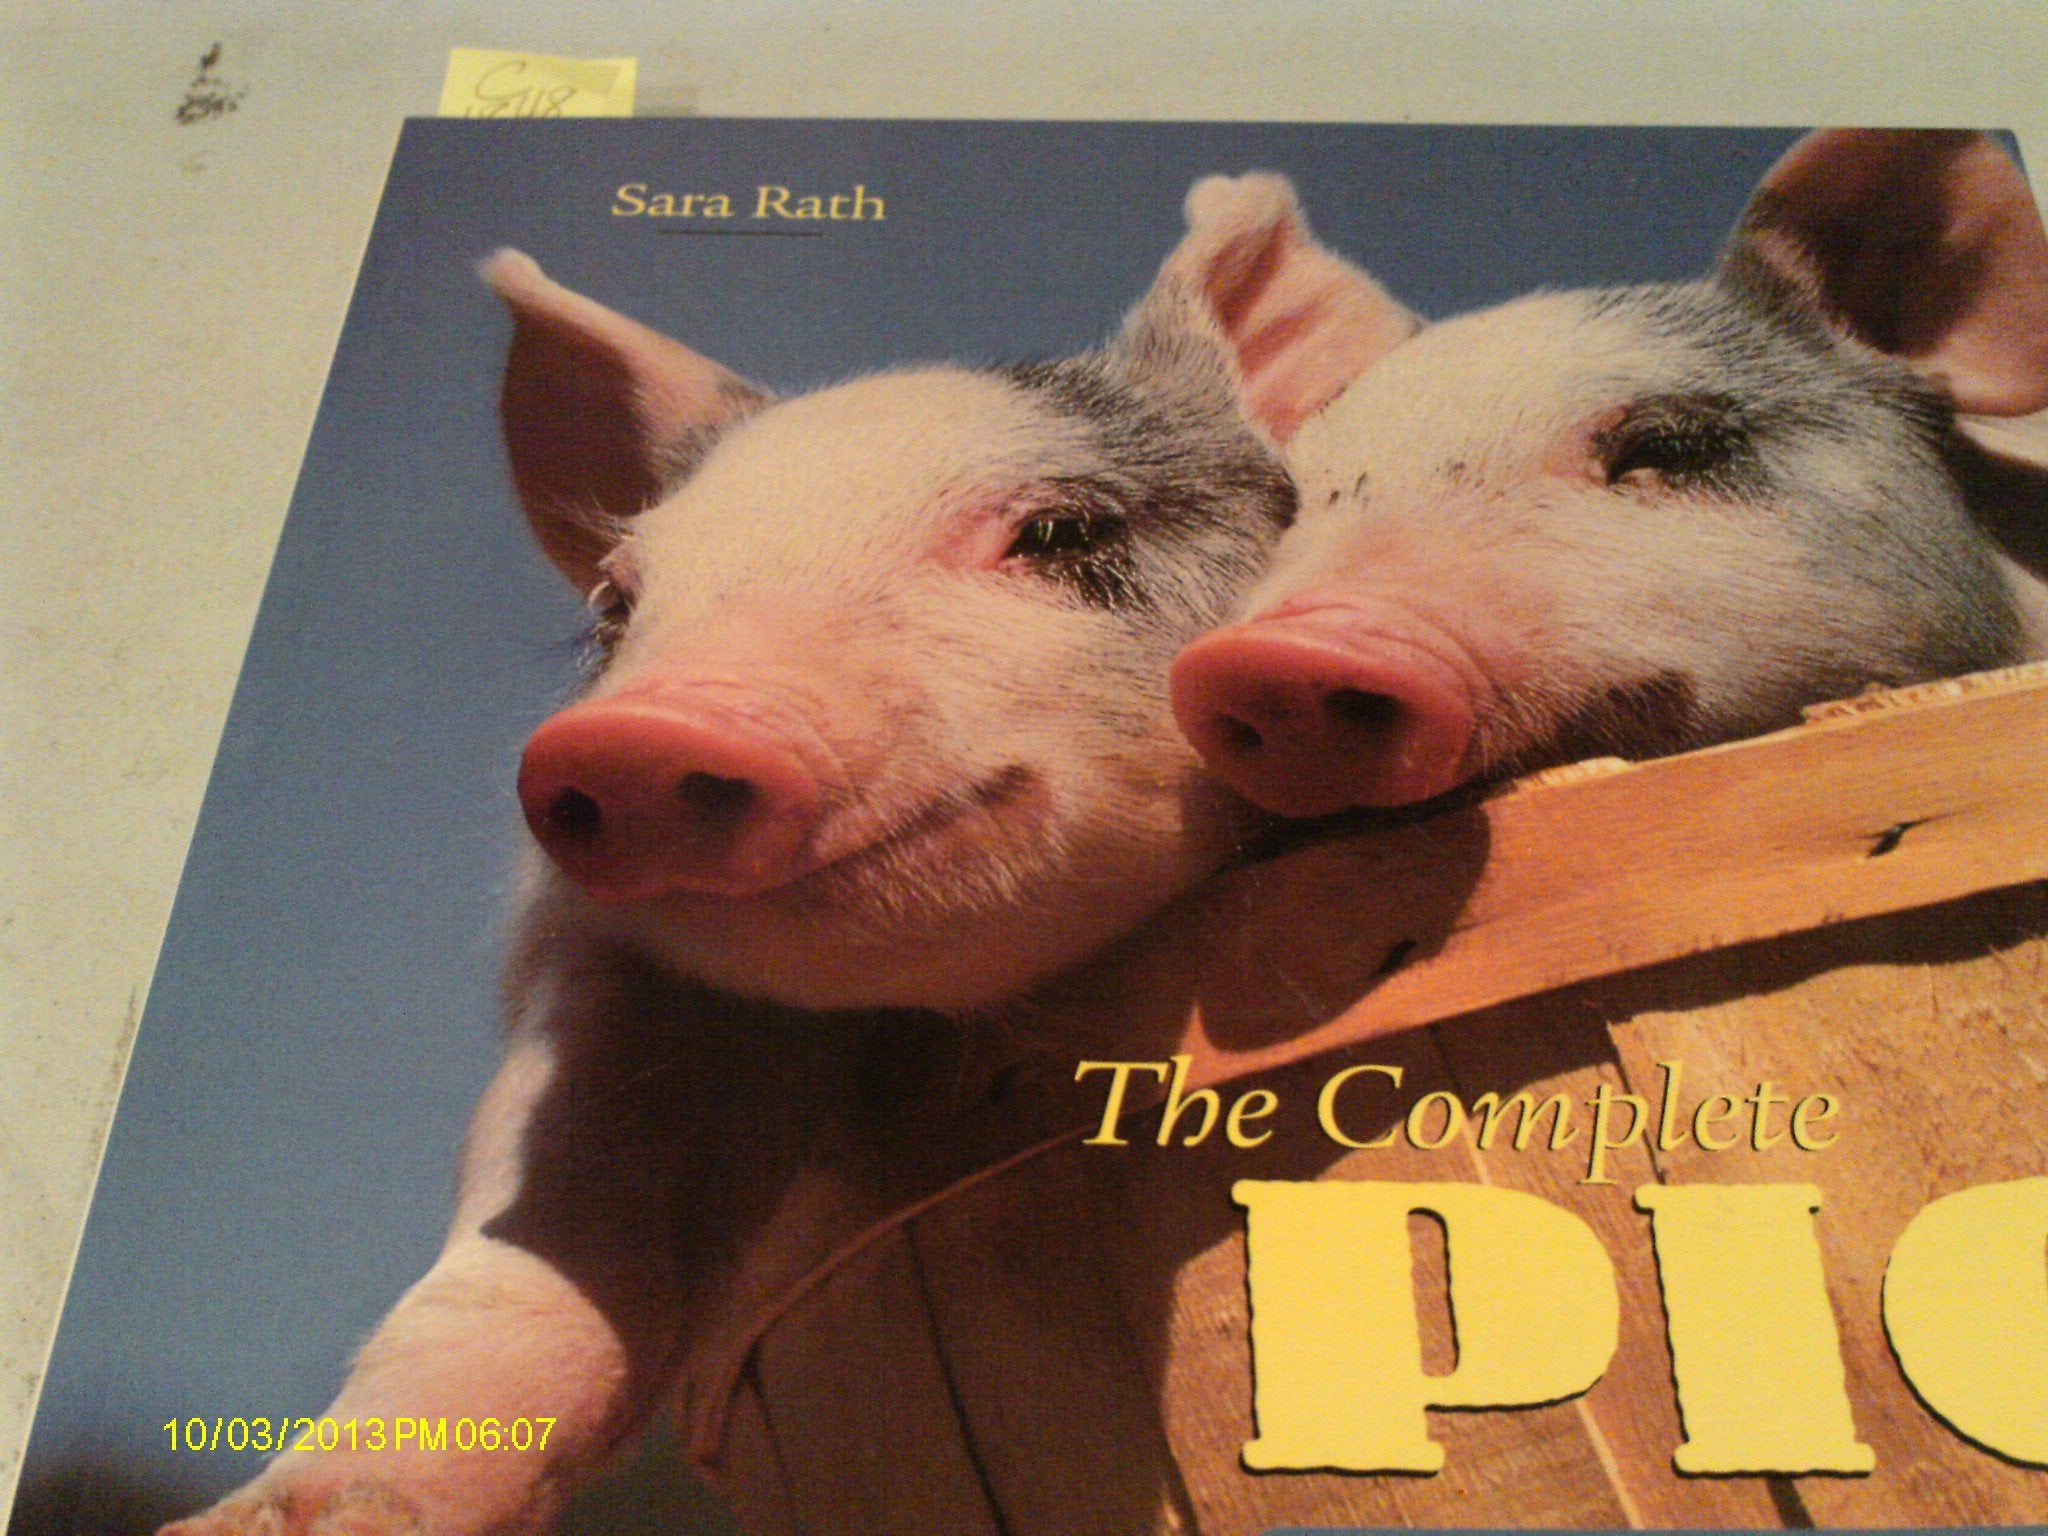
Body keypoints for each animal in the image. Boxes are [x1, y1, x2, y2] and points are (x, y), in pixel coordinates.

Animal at [160, 175, 1413, 1534]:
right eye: (615, 603)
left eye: (1058, 531)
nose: (639, 733)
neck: (968, 1017)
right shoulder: (607, 979)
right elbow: (535, 1235)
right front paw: (256, 1522)